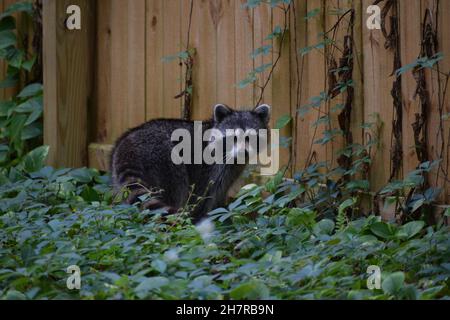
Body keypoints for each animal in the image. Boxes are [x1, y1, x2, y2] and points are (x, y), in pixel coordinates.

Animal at [110, 104, 270, 222]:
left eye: (251, 137)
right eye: (233, 138)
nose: (244, 153)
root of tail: (129, 145)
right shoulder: (208, 169)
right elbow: (204, 198)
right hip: (164, 159)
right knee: (177, 187)